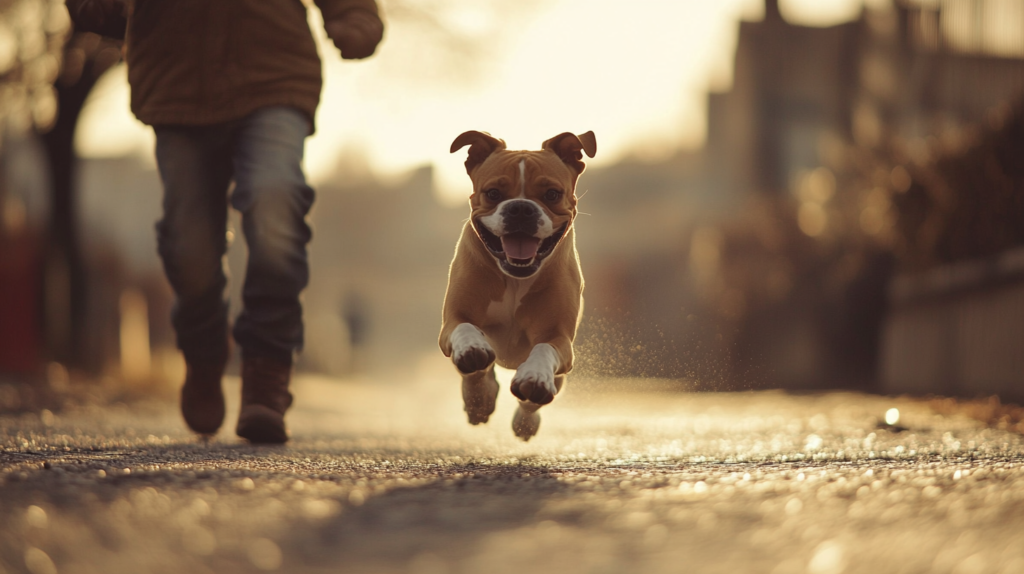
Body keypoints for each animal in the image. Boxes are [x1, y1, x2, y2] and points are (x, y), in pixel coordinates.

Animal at [438, 129, 598, 439]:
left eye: (551, 194)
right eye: (493, 194)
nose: (521, 209)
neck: (515, 277)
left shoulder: (559, 337)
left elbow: (543, 350)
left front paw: (534, 377)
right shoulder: (452, 321)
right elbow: (465, 330)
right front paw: (472, 351)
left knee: (535, 399)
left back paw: (525, 419)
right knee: (476, 373)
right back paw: (479, 401)